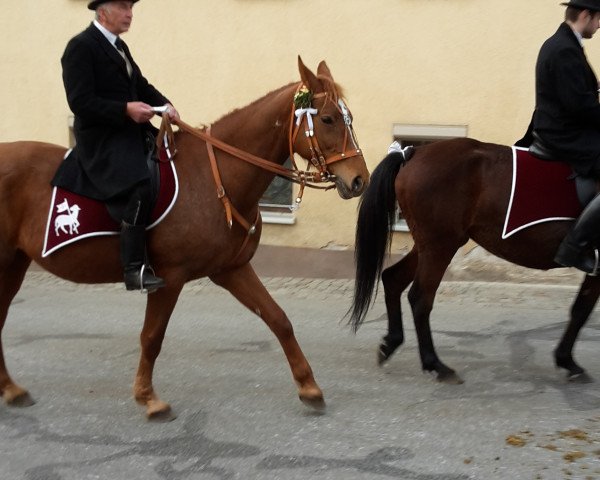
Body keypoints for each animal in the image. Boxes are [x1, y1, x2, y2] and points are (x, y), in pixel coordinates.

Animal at [0, 59, 370, 420]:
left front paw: (309, 388)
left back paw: (12, 390)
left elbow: (279, 319)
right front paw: (148, 398)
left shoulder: (231, 269)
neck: (212, 178)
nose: (359, 180)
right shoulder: (170, 277)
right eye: (327, 118)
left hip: (15, 262)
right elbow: (152, 337)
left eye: (348, 118)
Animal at [350, 138, 596, 382]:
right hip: (440, 245)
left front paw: (566, 360)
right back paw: (435, 363)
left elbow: (581, 309)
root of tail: (412, 153)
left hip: (429, 245)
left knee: (393, 279)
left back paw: (390, 343)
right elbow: (582, 310)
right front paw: (568, 361)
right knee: (420, 298)